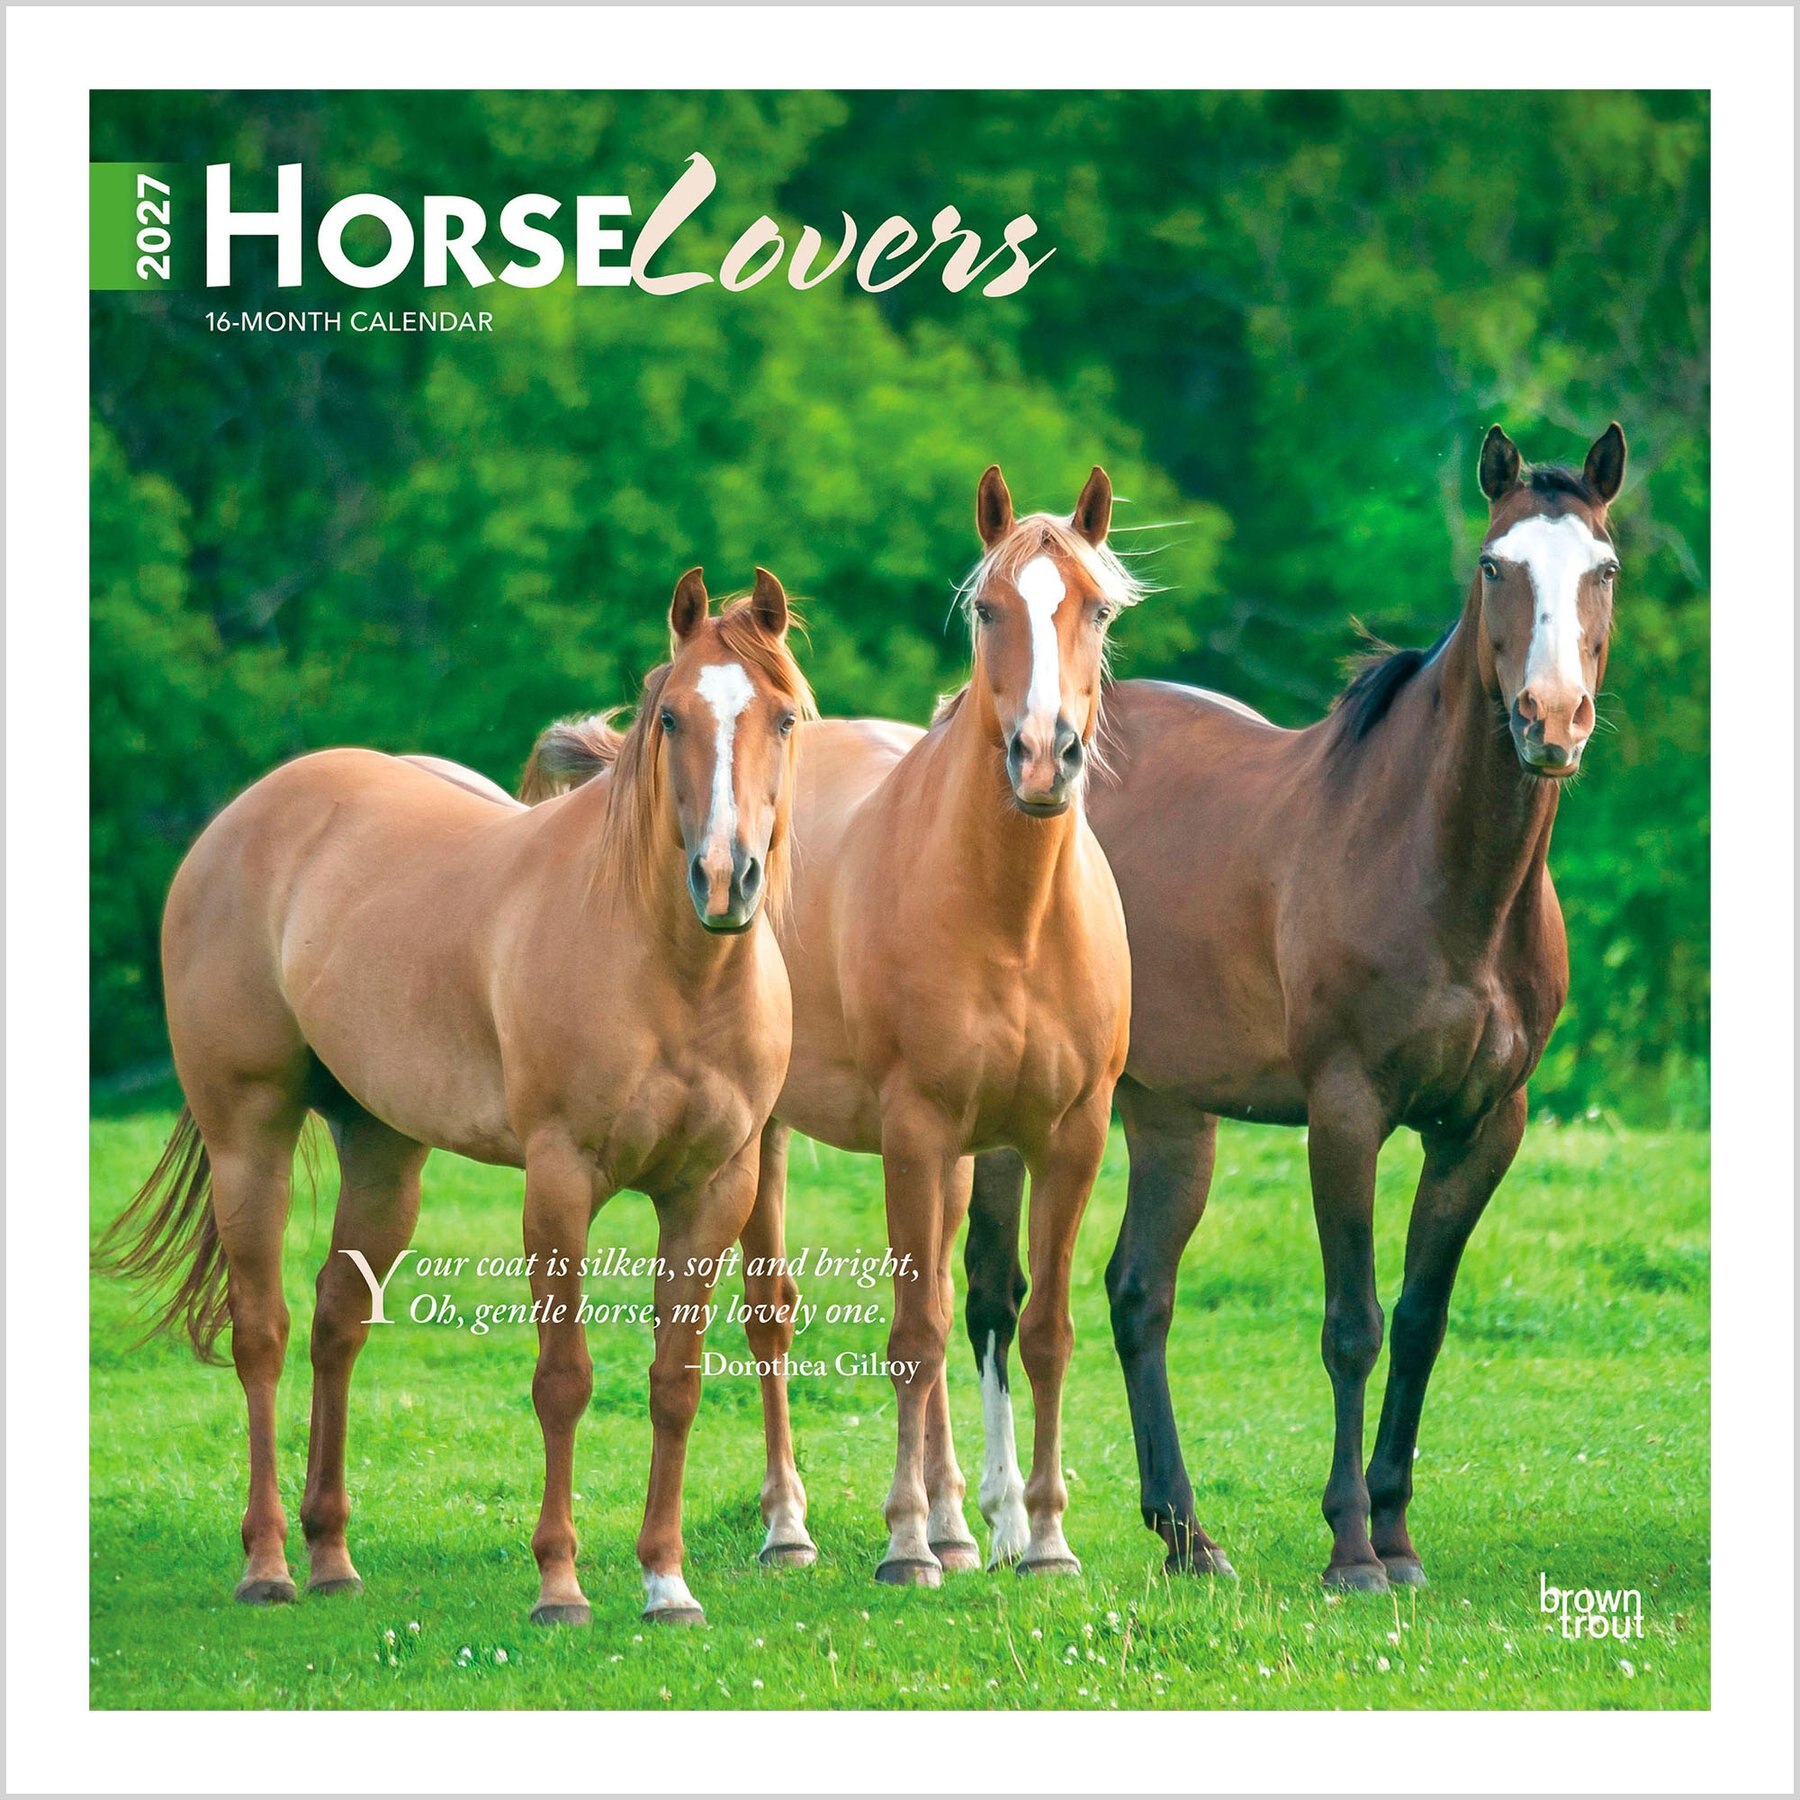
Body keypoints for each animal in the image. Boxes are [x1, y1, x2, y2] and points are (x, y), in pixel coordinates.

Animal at [95, 568, 813, 1628]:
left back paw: (332, 1556)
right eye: (672, 717)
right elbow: (563, 1380)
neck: (669, 970)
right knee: (262, 1334)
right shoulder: (559, 1183)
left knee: (336, 1322)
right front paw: (560, 1585)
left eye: (786, 718)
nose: (724, 878)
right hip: (249, 1139)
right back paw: (268, 1565)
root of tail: (243, 819)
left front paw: (666, 1582)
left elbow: (675, 1383)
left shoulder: (712, 1191)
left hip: (384, 1152)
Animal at [521, 465, 1138, 1584]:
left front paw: (1043, 1539)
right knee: (775, 1320)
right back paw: (793, 1526)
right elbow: (911, 1337)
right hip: (767, 1141)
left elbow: (1043, 1331)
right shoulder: (915, 1130)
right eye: (988, 609)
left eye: (1098, 610)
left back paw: (958, 1522)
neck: (1014, 915)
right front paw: (902, 1543)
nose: (1041, 758)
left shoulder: (1068, 1137)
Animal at [964, 424, 1629, 1591]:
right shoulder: (1346, 1112)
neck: (1442, 870)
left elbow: (1421, 1321)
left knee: (1138, 1294)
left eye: (1603, 568)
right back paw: (1006, 1529)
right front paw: (1353, 1550)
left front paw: (1398, 1534)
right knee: (998, 1296)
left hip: (1170, 1113)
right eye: (1494, 566)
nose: (1551, 720)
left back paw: (1187, 1537)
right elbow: (1353, 1323)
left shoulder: (1485, 1128)